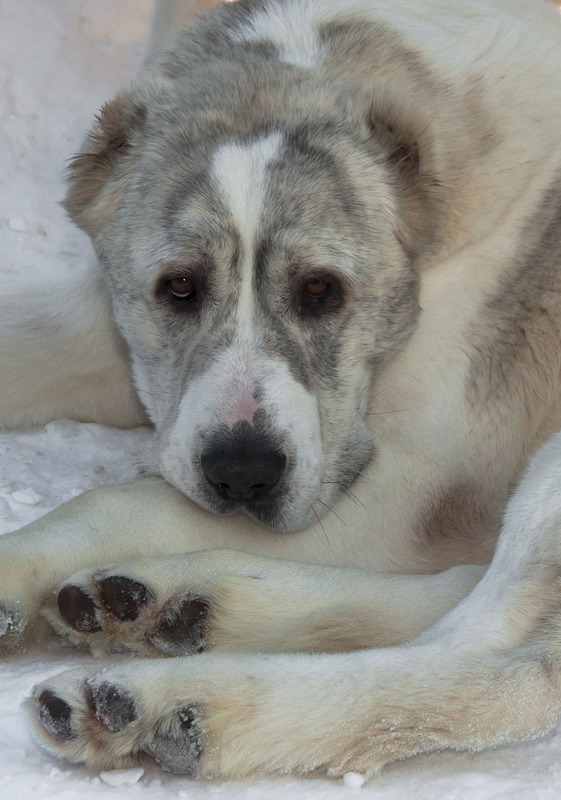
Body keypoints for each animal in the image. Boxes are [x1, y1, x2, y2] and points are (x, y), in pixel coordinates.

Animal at [1, 0, 560, 780]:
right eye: (178, 287)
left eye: (321, 290)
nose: (243, 472)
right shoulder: (99, 326)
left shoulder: (413, 493)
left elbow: (120, 502)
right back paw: (189, 603)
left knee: (495, 664)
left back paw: (172, 703)